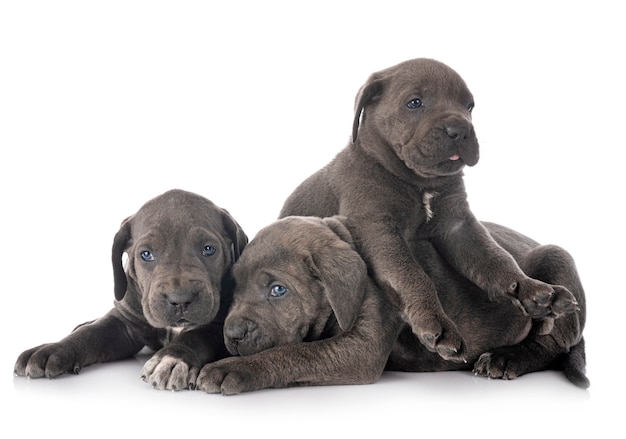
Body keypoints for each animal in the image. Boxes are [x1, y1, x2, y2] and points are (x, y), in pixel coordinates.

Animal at [13, 189, 245, 392]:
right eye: (146, 254)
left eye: (209, 249)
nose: (180, 299)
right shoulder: (124, 323)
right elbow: (91, 333)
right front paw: (52, 348)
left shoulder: (219, 327)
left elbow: (197, 335)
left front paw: (171, 359)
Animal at [194, 217, 584, 396]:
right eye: (233, 288)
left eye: (278, 290)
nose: (233, 333)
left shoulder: (360, 349)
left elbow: (292, 353)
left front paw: (230, 369)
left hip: (557, 261)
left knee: (552, 343)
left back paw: (506, 359)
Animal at [276, 58, 576, 360]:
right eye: (414, 103)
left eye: (469, 106)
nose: (460, 130)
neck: (420, 183)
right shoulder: (378, 229)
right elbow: (412, 275)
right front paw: (435, 323)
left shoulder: (459, 226)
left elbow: (496, 258)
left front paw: (531, 288)